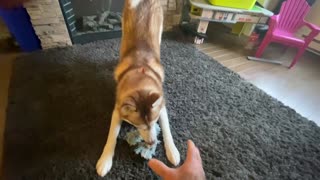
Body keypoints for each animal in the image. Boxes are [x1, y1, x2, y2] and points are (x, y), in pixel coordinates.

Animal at [95, 0, 180, 177]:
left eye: (154, 121)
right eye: (139, 126)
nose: (152, 142)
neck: (140, 73)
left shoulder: (161, 106)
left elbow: (167, 129)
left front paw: (172, 151)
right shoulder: (118, 109)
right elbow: (111, 135)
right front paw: (105, 160)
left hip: (159, 29)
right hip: (124, 29)